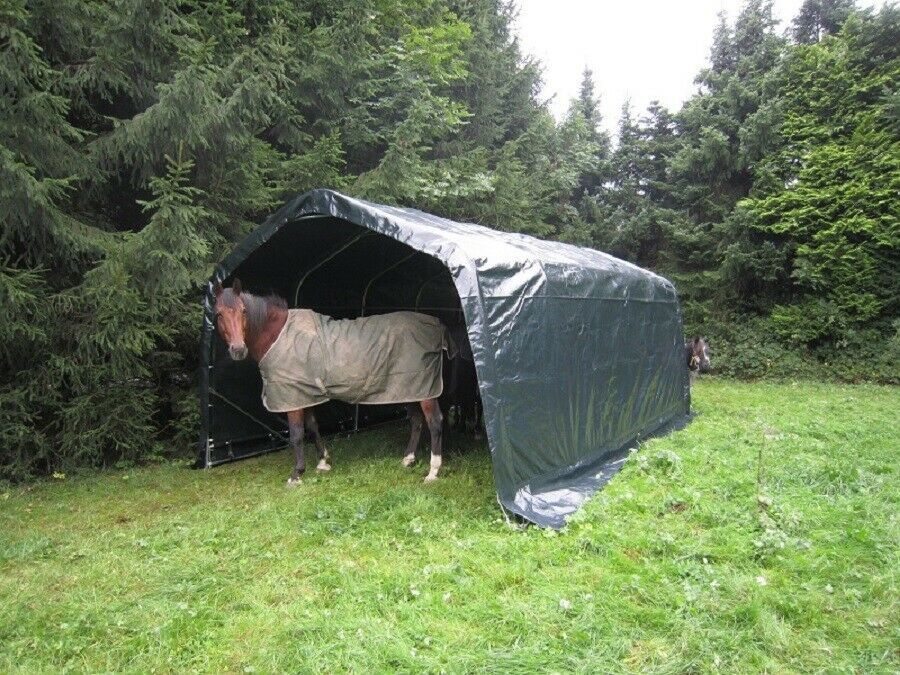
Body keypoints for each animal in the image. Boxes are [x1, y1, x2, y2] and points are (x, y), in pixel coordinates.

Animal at [214, 280, 446, 486]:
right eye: (219, 313)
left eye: (244, 311)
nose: (238, 349)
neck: (279, 336)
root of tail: (436, 325)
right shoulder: (304, 394)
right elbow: (312, 426)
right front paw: (323, 462)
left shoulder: (292, 397)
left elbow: (296, 434)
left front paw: (296, 474)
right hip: (410, 388)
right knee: (416, 420)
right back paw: (408, 459)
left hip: (424, 390)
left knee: (434, 422)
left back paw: (433, 472)